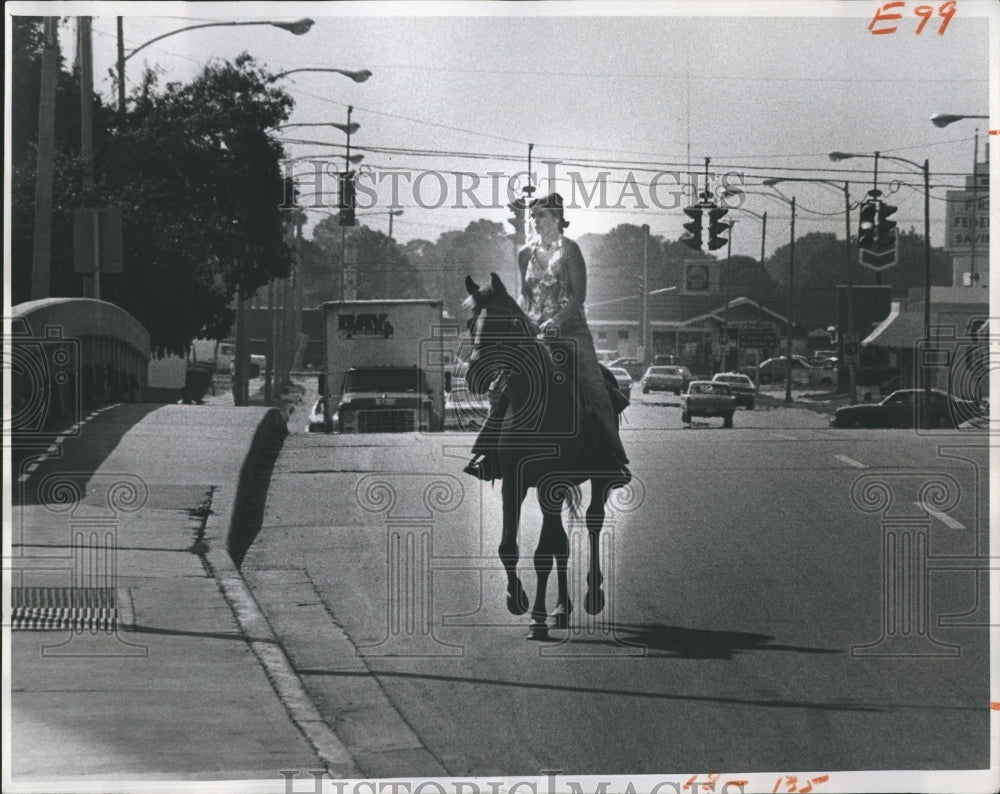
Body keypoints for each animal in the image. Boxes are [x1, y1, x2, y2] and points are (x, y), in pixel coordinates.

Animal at [462, 272, 624, 636]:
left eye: (506, 322)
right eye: (469, 323)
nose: (475, 375)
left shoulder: (551, 483)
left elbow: (543, 552)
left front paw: (537, 616)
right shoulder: (515, 482)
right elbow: (511, 547)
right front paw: (517, 600)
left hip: (598, 479)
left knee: (592, 524)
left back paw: (591, 596)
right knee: (560, 545)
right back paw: (562, 609)